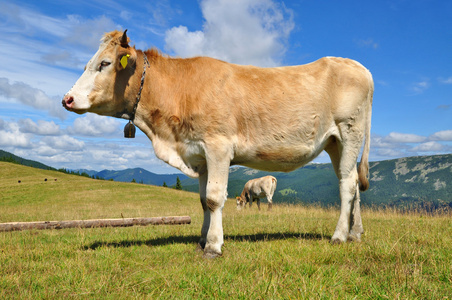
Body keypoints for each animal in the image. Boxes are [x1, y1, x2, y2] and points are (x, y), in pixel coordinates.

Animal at [63, 29, 374, 258]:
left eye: (104, 64)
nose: (67, 99)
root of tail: (359, 66)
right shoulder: (199, 155)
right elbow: (202, 200)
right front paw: (201, 239)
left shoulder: (218, 146)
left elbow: (214, 198)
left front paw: (213, 246)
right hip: (334, 143)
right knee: (353, 184)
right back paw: (355, 234)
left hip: (350, 132)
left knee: (347, 186)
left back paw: (338, 236)